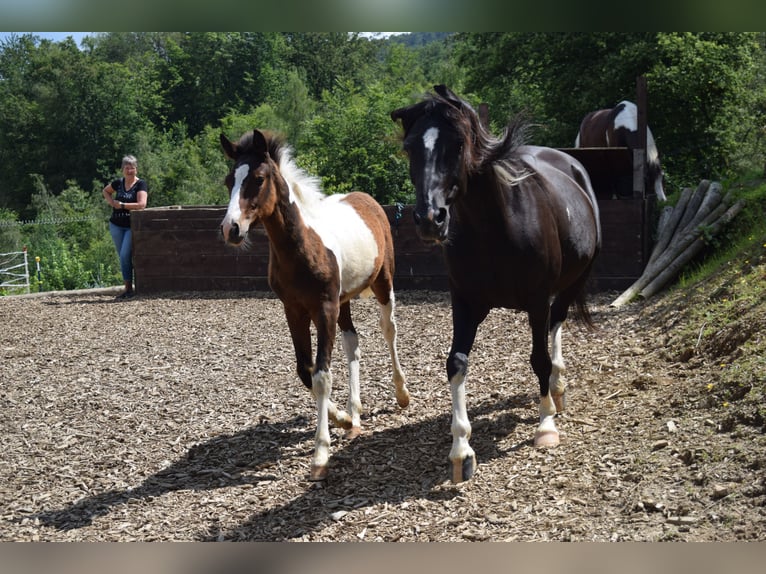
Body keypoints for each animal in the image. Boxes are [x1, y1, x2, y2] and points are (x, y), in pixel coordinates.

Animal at [219, 129, 412, 482]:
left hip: (382, 283)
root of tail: (367, 200)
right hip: (344, 300)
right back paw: (355, 413)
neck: (301, 247)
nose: (231, 229)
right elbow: (305, 371)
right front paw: (342, 419)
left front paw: (321, 454)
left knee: (389, 330)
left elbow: (322, 374)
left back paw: (402, 394)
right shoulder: (295, 311)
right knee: (352, 341)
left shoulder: (323, 310)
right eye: (230, 180)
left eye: (258, 178)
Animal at [392, 85, 604, 486]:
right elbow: (456, 362)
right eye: (410, 148)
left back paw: (558, 388)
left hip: (572, 282)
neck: (495, 227)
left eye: (458, 144)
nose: (430, 219)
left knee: (557, 324)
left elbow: (538, 358)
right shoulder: (465, 302)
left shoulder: (537, 300)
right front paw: (461, 450)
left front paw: (546, 425)